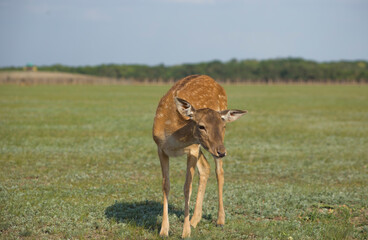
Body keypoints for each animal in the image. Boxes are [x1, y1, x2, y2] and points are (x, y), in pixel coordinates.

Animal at [152, 74, 247, 238]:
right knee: (205, 167)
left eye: (223, 125)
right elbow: (166, 185)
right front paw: (164, 230)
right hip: (203, 147)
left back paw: (220, 220)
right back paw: (195, 219)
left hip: (206, 146)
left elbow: (187, 187)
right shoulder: (161, 149)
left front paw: (185, 232)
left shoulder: (192, 150)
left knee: (219, 171)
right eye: (201, 126)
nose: (222, 152)